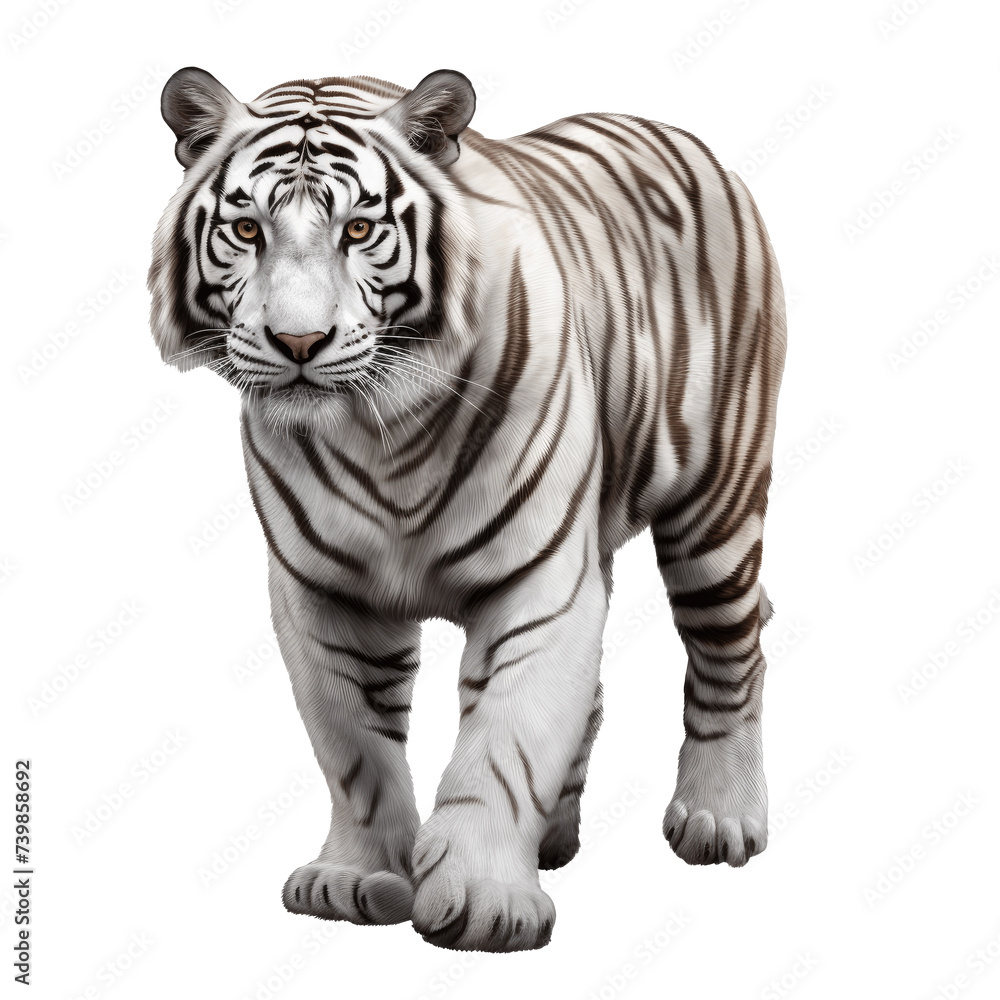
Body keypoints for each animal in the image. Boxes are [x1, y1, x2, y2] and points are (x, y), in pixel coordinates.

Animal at [148, 66, 787, 952]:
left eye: (358, 229)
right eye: (246, 229)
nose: (299, 343)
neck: (379, 433)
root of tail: (679, 135)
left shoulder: (540, 581)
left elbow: (507, 736)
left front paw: (485, 898)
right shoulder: (322, 595)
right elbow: (353, 746)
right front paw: (355, 877)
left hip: (715, 506)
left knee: (733, 647)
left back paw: (719, 817)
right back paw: (555, 836)